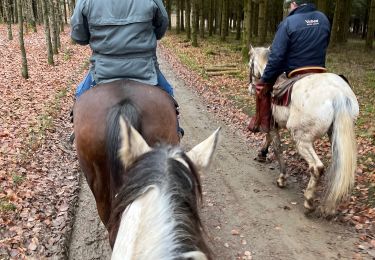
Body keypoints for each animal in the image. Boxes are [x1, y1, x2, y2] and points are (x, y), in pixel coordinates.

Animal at [248, 46, 360, 215]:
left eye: (250, 64)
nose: (250, 88)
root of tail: (338, 95)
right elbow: (268, 139)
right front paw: (262, 153)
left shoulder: (272, 124)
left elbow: (277, 147)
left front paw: (282, 178)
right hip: (336, 136)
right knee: (339, 168)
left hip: (302, 140)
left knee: (317, 167)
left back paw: (309, 201)